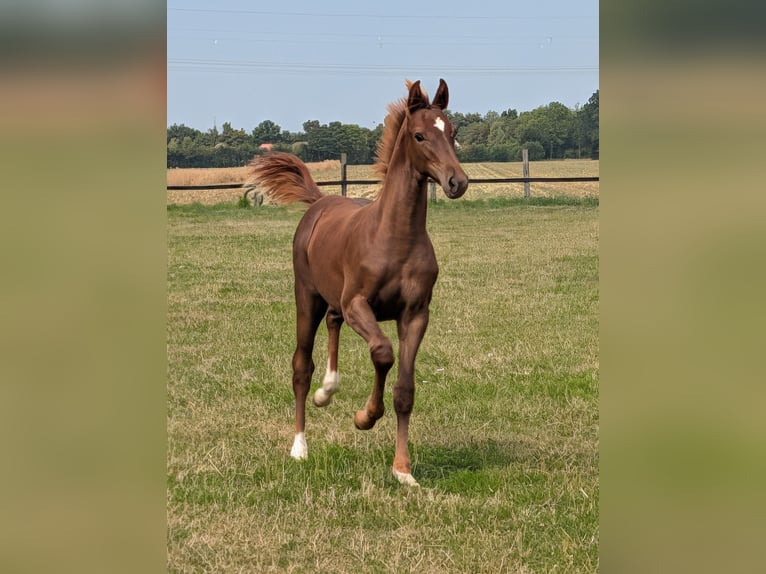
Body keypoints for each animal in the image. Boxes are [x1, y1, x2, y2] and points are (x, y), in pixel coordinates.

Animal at [247, 79, 468, 486]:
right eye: (419, 135)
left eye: (453, 132)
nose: (456, 181)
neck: (395, 237)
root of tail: (320, 203)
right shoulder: (358, 305)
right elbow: (382, 352)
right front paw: (364, 417)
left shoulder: (416, 314)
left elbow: (404, 390)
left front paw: (403, 470)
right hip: (308, 297)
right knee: (301, 366)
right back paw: (300, 445)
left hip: (333, 299)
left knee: (332, 326)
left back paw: (327, 391)